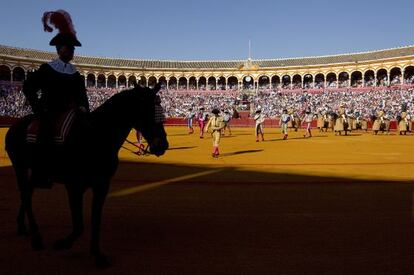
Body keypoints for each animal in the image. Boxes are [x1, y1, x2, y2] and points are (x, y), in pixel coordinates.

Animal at [4, 83, 169, 268]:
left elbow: (95, 219)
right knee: (25, 194)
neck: (96, 137)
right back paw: (36, 237)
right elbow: (79, 225)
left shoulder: (102, 185)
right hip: (20, 166)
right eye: (145, 110)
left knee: (27, 192)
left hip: (32, 170)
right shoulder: (74, 186)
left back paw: (22, 226)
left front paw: (98, 255)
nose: (162, 145)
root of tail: (15, 125)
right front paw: (63, 243)